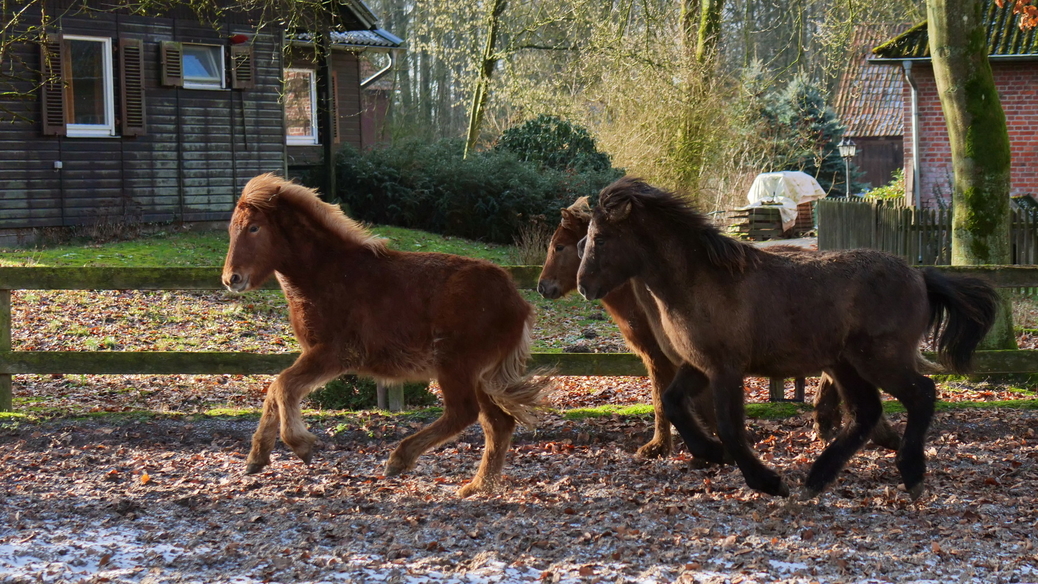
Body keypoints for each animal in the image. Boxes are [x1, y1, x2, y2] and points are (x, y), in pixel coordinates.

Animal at [224, 175, 556, 497]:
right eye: (231, 229)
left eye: (254, 228)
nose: (231, 279)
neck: (329, 274)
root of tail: (519, 302)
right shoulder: (319, 356)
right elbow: (275, 391)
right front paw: (257, 457)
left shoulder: (333, 354)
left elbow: (282, 386)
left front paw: (302, 445)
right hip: (481, 376)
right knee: (497, 423)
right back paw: (477, 487)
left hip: (456, 365)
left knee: (462, 413)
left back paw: (400, 460)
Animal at [577, 176, 996, 499]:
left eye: (601, 239)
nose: (583, 286)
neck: (699, 280)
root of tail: (920, 277)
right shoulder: (699, 365)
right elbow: (674, 402)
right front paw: (712, 453)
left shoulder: (726, 368)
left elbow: (730, 427)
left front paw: (766, 481)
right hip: (845, 365)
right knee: (866, 412)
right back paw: (816, 480)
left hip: (880, 359)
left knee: (922, 393)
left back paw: (911, 474)